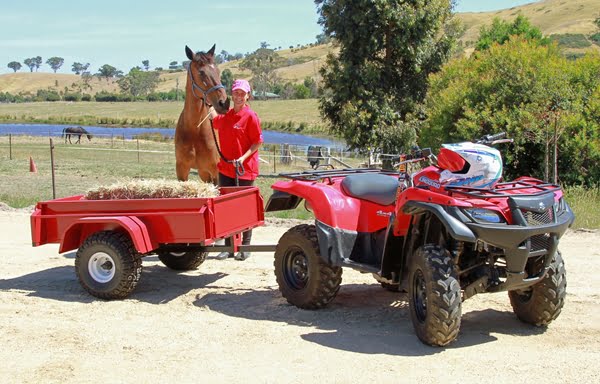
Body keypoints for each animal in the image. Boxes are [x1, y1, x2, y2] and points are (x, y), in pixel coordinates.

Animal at [175, 45, 231, 183]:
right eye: (201, 73)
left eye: (217, 70)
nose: (224, 103)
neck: (194, 129)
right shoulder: (181, 170)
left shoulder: (216, 172)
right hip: (204, 173)